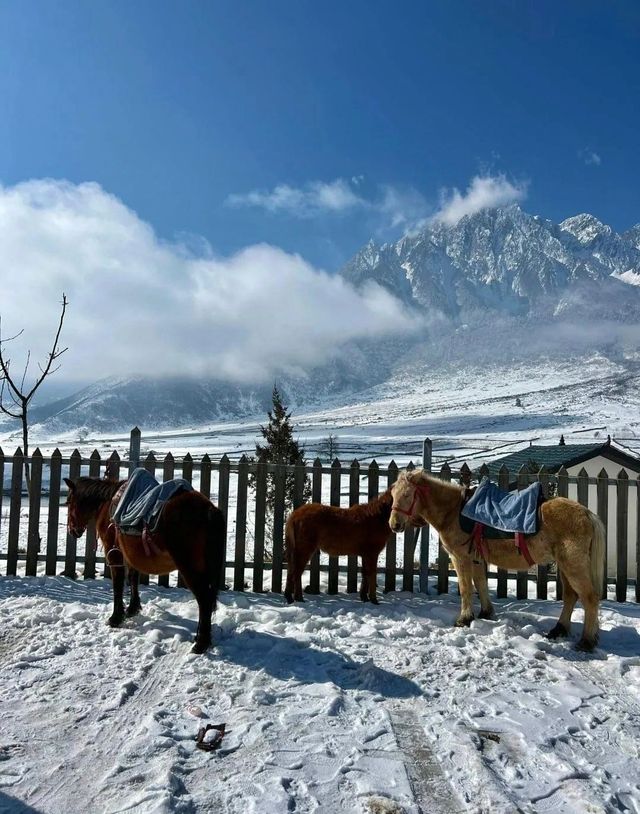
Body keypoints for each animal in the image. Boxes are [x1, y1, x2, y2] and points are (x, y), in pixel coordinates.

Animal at [65, 478, 225, 656]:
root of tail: (209, 510)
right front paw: (132, 609)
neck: (107, 502)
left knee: (204, 601)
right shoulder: (130, 555)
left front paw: (115, 618)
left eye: (69, 502)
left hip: (190, 570)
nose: (72, 530)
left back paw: (200, 644)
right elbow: (133, 578)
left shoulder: (114, 555)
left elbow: (117, 585)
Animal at [390, 468, 604, 652]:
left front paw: (464, 619)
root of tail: (587, 514)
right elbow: (481, 584)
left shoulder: (461, 558)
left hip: (573, 565)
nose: (394, 525)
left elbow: (466, 588)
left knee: (589, 598)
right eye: (392, 494)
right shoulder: (476, 558)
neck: (452, 511)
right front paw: (486, 613)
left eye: (407, 495)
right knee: (570, 596)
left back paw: (586, 641)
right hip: (565, 566)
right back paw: (558, 630)